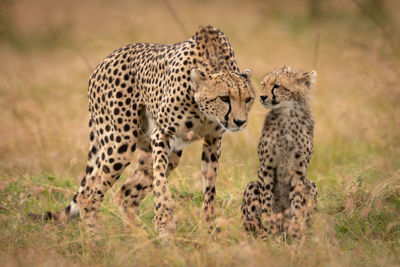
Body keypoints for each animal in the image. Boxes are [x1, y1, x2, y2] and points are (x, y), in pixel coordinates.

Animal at [32, 26, 255, 238]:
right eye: (224, 98)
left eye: (248, 99)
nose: (240, 121)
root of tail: (105, 59)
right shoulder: (162, 135)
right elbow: (161, 185)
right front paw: (164, 226)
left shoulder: (213, 140)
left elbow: (209, 187)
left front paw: (208, 230)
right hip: (120, 145)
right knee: (87, 194)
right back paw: (96, 240)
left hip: (163, 152)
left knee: (125, 194)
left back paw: (140, 238)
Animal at [242, 66, 318, 242]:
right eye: (264, 84)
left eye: (277, 86)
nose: (262, 96)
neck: (288, 115)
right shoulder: (266, 167)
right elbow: (266, 203)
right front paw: (268, 231)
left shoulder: (299, 170)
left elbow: (297, 203)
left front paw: (296, 234)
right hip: (252, 187)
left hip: (311, 185)